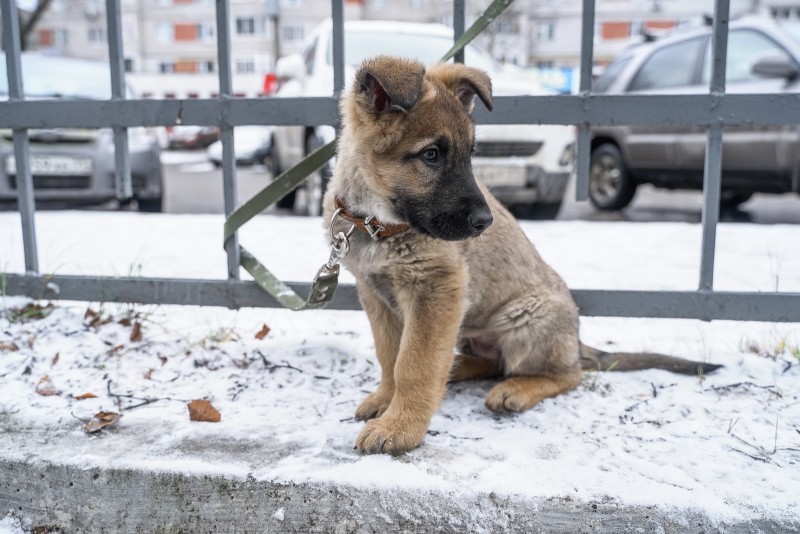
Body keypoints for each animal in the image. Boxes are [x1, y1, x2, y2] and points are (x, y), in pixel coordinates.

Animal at [322, 55, 720, 456]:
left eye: (470, 155)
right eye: (431, 155)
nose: (484, 222)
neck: (378, 222)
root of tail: (575, 344)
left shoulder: (435, 291)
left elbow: (415, 363)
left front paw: (401, 427)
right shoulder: (377, 295)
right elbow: (391, 355)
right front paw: (387, 401)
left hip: (526, 320)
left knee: (565, 373)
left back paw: (514, 389)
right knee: (491, 361)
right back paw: (457, 368)